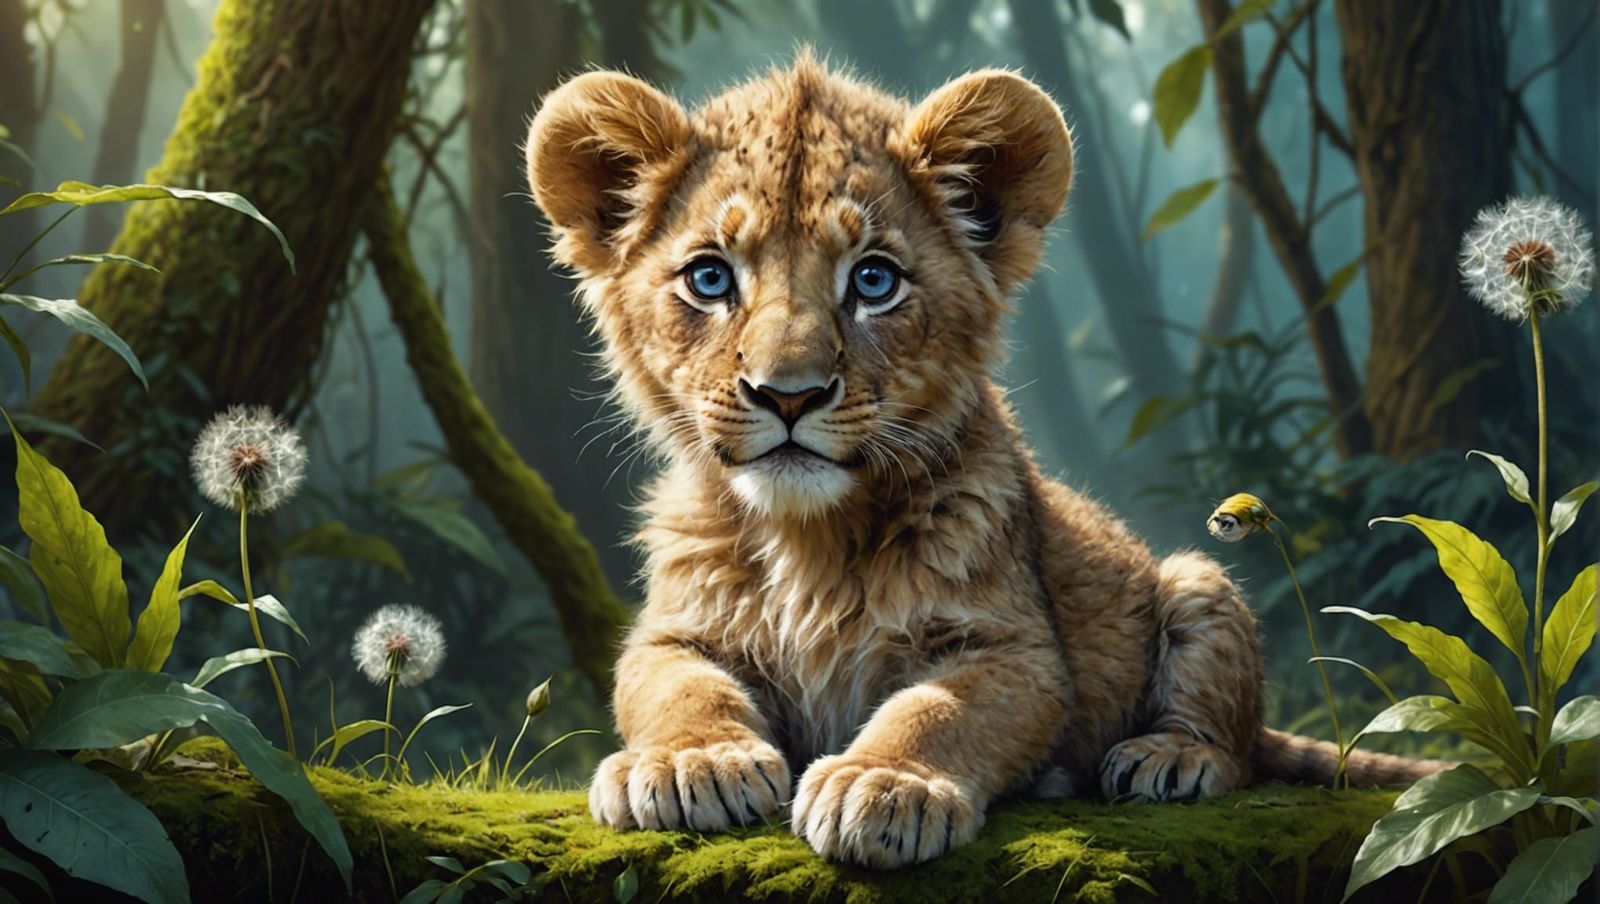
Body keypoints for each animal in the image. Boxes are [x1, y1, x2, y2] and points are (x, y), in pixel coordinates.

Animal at [522, 53, 1441, 869]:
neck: (807, 539)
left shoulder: (1018, 651)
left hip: (1196, 581)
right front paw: (688, 762)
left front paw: (881, 785)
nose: (788, 395)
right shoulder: (672, 631)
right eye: (710, 279)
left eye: (875, 281)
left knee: (1236, 737)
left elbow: (938, 709)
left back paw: (1168, 759)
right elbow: (675, 685)